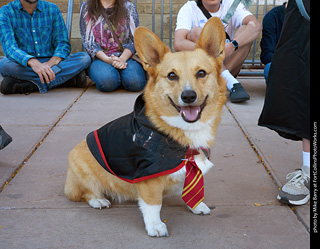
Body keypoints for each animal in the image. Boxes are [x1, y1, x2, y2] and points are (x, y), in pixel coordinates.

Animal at [63, 17, 226, 237]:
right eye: (172, 76)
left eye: (201, 73)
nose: (188, 96)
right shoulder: (149, 179)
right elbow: (153, 205)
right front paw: (155, 226)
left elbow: (191, 188)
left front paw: (196, 205)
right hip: (83, 170)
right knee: (86, 193)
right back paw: (98, 200)